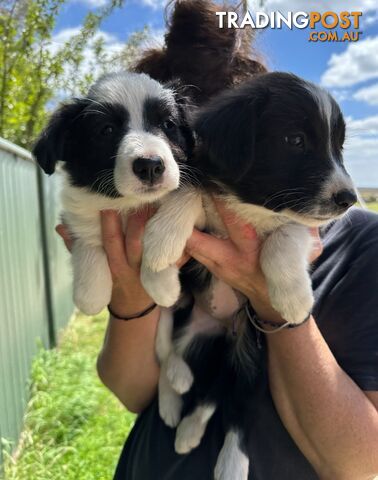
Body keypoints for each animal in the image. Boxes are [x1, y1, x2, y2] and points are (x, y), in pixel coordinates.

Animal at [32, 68, 193, 316]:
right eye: (106, 130)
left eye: (168, 124)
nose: (150, 166)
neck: (126, 203)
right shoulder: (77, 211)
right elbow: (86, 235)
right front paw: (90, 294)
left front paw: (160, 271)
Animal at [142, 71, 358, 480]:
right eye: (295, 140)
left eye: (339, 147)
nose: (349, 199)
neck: (253, 204)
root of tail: (224, 330)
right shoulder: (205, 187)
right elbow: (187, 191)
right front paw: (161, 239)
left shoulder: (304, 229)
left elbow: (284, 237)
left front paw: (295, 299)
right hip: (188, 321)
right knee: (178, 359)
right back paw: (175, 401)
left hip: (254, 354)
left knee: (235, 406)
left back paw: (226, 461)